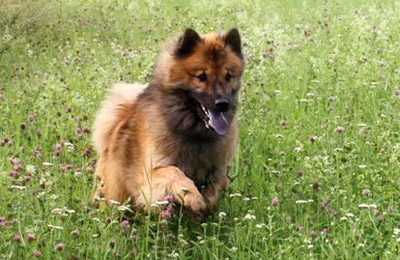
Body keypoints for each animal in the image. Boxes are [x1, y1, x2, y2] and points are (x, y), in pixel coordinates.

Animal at [92, 27, 245, 216]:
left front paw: (205, 205)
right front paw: (192, 197)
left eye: (228, 76)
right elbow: (174, 172)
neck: (194, 133)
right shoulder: (152, 173)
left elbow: (216, 186)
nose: (222, 103)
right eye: (201, 76)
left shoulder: (218, 169)